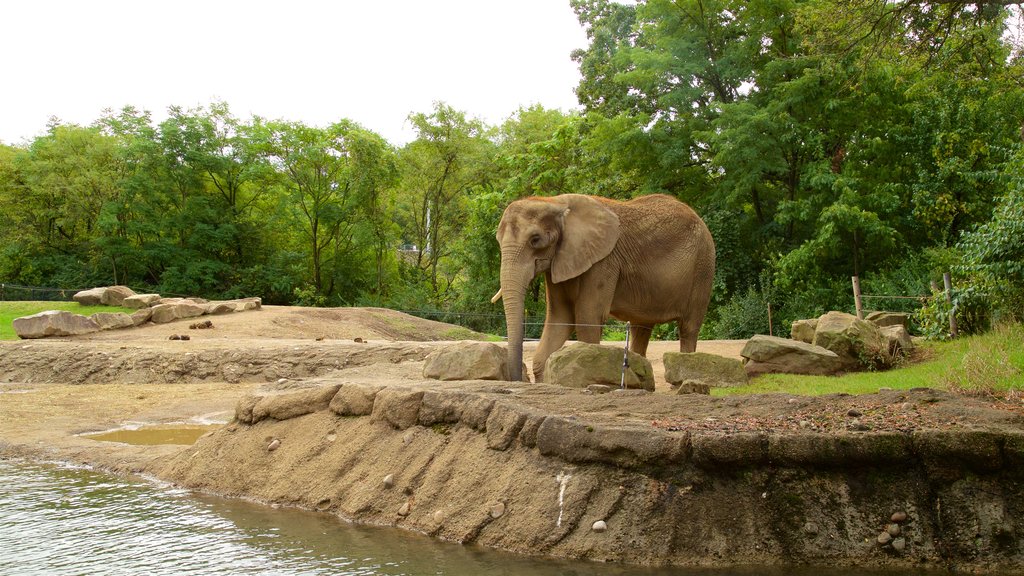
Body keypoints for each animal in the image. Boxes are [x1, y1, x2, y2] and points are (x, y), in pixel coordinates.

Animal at [493, 192, 716, 381]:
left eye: (535, 239)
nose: (517, 379)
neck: (556, 202)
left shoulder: (604, 262)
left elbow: (587, 317)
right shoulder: (560, 260)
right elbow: (560, 318)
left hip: (703, 267)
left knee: (688, 327)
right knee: (641, 328)